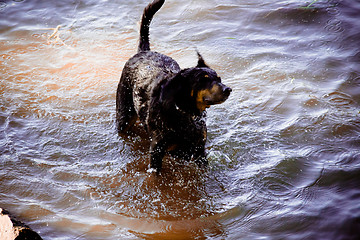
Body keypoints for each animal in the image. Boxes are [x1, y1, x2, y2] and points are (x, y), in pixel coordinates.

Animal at [116, 0, 232, 172]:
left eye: (219, 78)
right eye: (203, 80)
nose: (227, 89)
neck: (184, 112)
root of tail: (143, 51)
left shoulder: (199, 150)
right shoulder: (157, 150)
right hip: (124, 114)